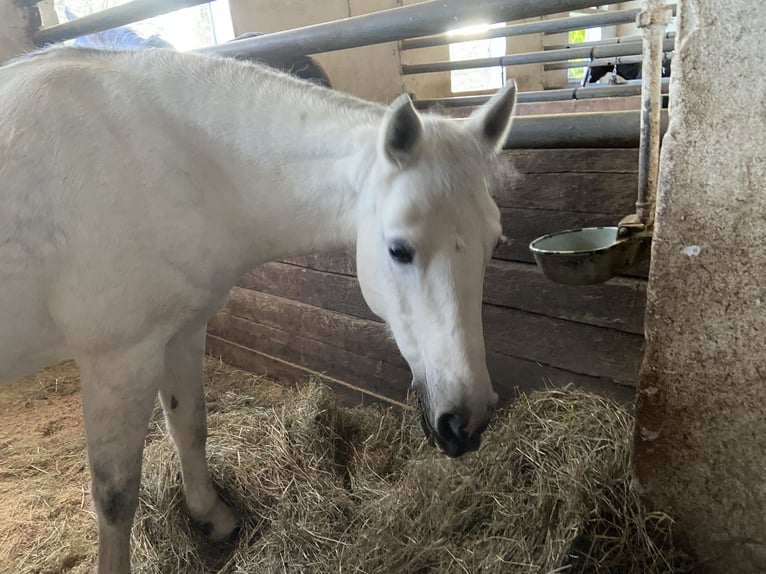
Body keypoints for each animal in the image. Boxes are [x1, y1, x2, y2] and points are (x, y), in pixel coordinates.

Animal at [0, 46, 516, 573]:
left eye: (494, 243)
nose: (467, 421)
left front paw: (213, 519)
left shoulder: (181, 332)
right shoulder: (119, 361)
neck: (159, 159)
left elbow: (190, 427)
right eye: (399, 250)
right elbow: (116, 497)